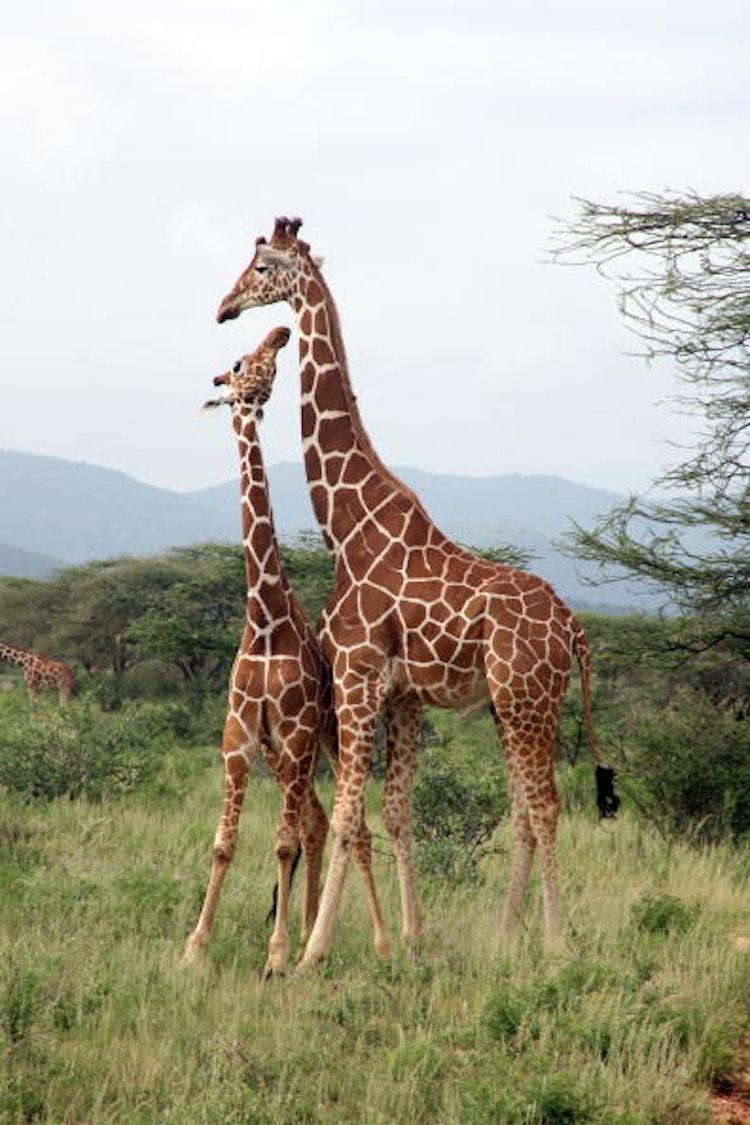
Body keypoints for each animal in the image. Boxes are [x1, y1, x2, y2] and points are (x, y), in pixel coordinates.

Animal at [184, 325, 389, 976]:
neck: (266, 621)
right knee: (319, 824)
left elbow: (280, 841)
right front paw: (195, 947)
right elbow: (224, 844)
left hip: (327, 738)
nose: (279, 333)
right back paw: (305, 938)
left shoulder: (296, 734)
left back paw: (372, 944)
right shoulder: (241, 735)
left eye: (263, 359)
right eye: (238, 363)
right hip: (282, 755)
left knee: (352, 827)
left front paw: (273, 957)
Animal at [216, 217, 619, 971]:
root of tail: (575, 631)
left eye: (259, 267)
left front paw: (311, 952)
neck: (347, 525)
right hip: (515, 706)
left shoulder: (358, 678)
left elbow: (350, 813)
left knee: (546, 806)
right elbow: (395, 810)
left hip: (524, 698)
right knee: (525, 810)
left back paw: (553, 941)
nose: (225, 308)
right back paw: (505, 935)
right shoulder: (401, 694)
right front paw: (407, 938)